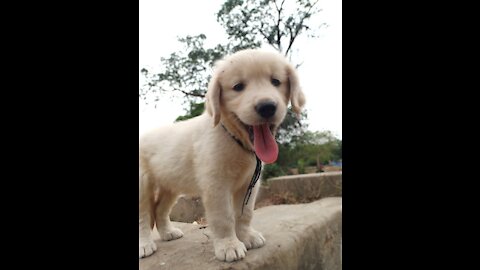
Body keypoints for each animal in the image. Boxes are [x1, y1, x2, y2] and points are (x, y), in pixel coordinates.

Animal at [139, 48, 306, 262]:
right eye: (238, 87)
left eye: (275, 81)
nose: (267, 107)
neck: (233, 137)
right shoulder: (216, 184)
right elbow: (224, 216)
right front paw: (229, 246)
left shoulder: (249, 183)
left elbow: (245, 213)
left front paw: (246, 236)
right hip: (142, 183)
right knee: (143, 214)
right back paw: (144, 244)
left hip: (171, 185)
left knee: (159, 209)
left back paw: (168, 232)